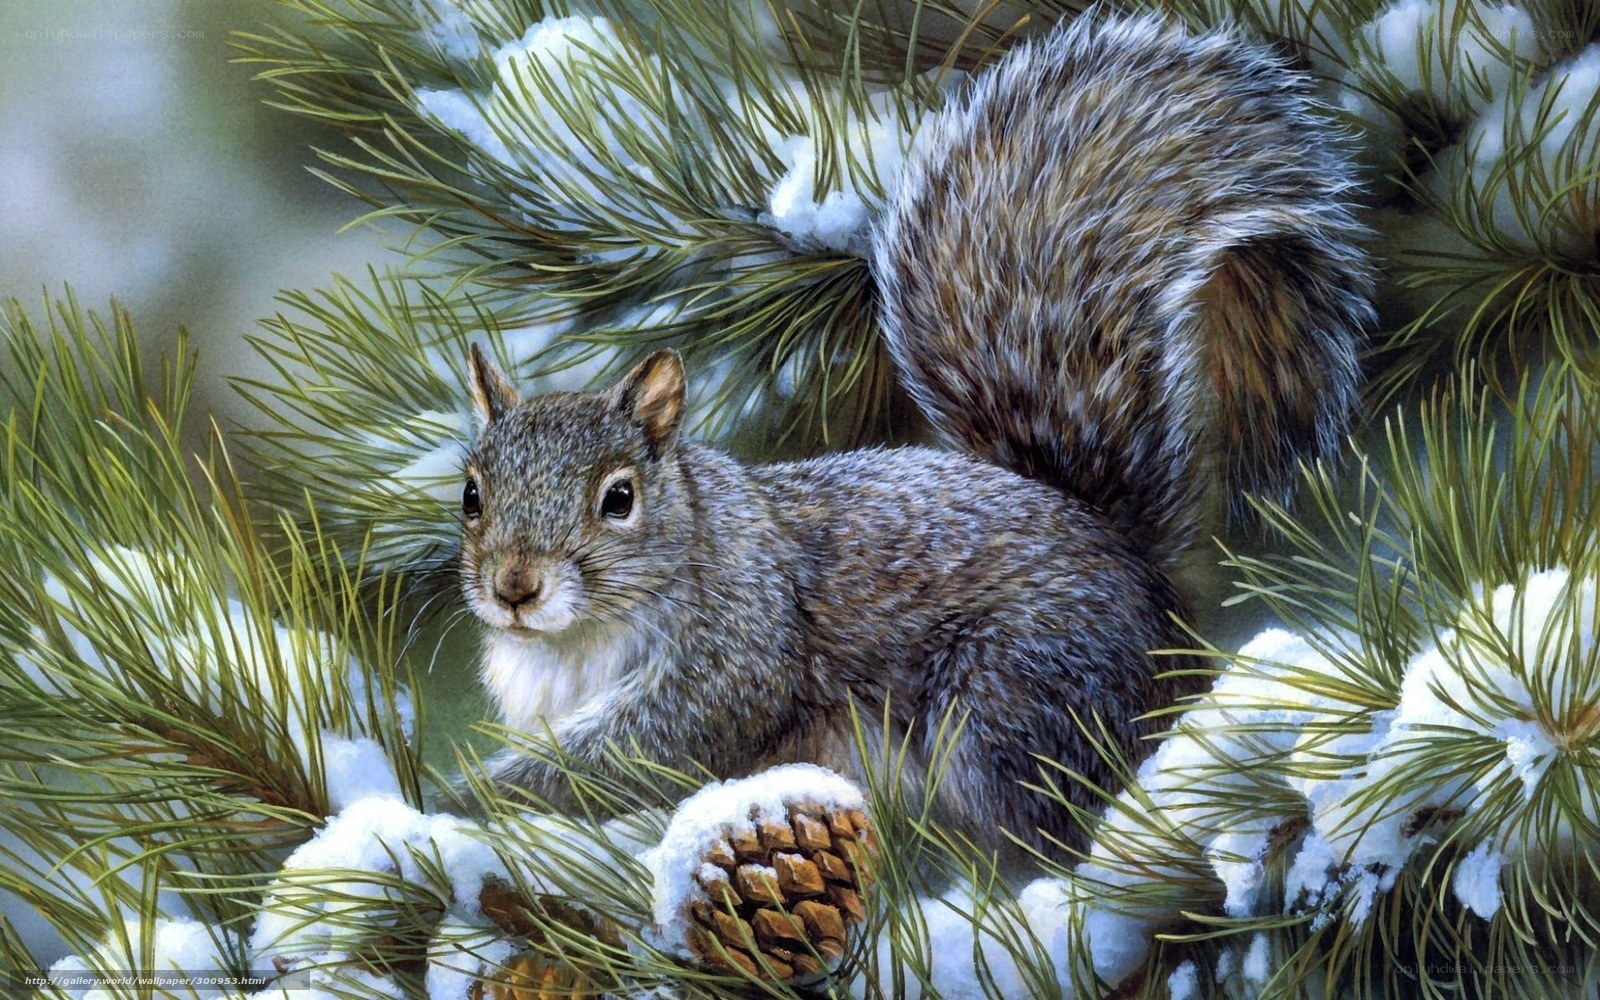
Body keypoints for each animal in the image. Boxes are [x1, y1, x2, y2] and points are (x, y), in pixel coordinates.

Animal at [457, 12, 1373, 860]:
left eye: (619, 498)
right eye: (471, 495)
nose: (514, 588)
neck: (574, 641)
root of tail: (1151, 594)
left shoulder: (736, 648)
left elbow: (645, 749)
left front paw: (481, 797)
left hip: (1012, 700)